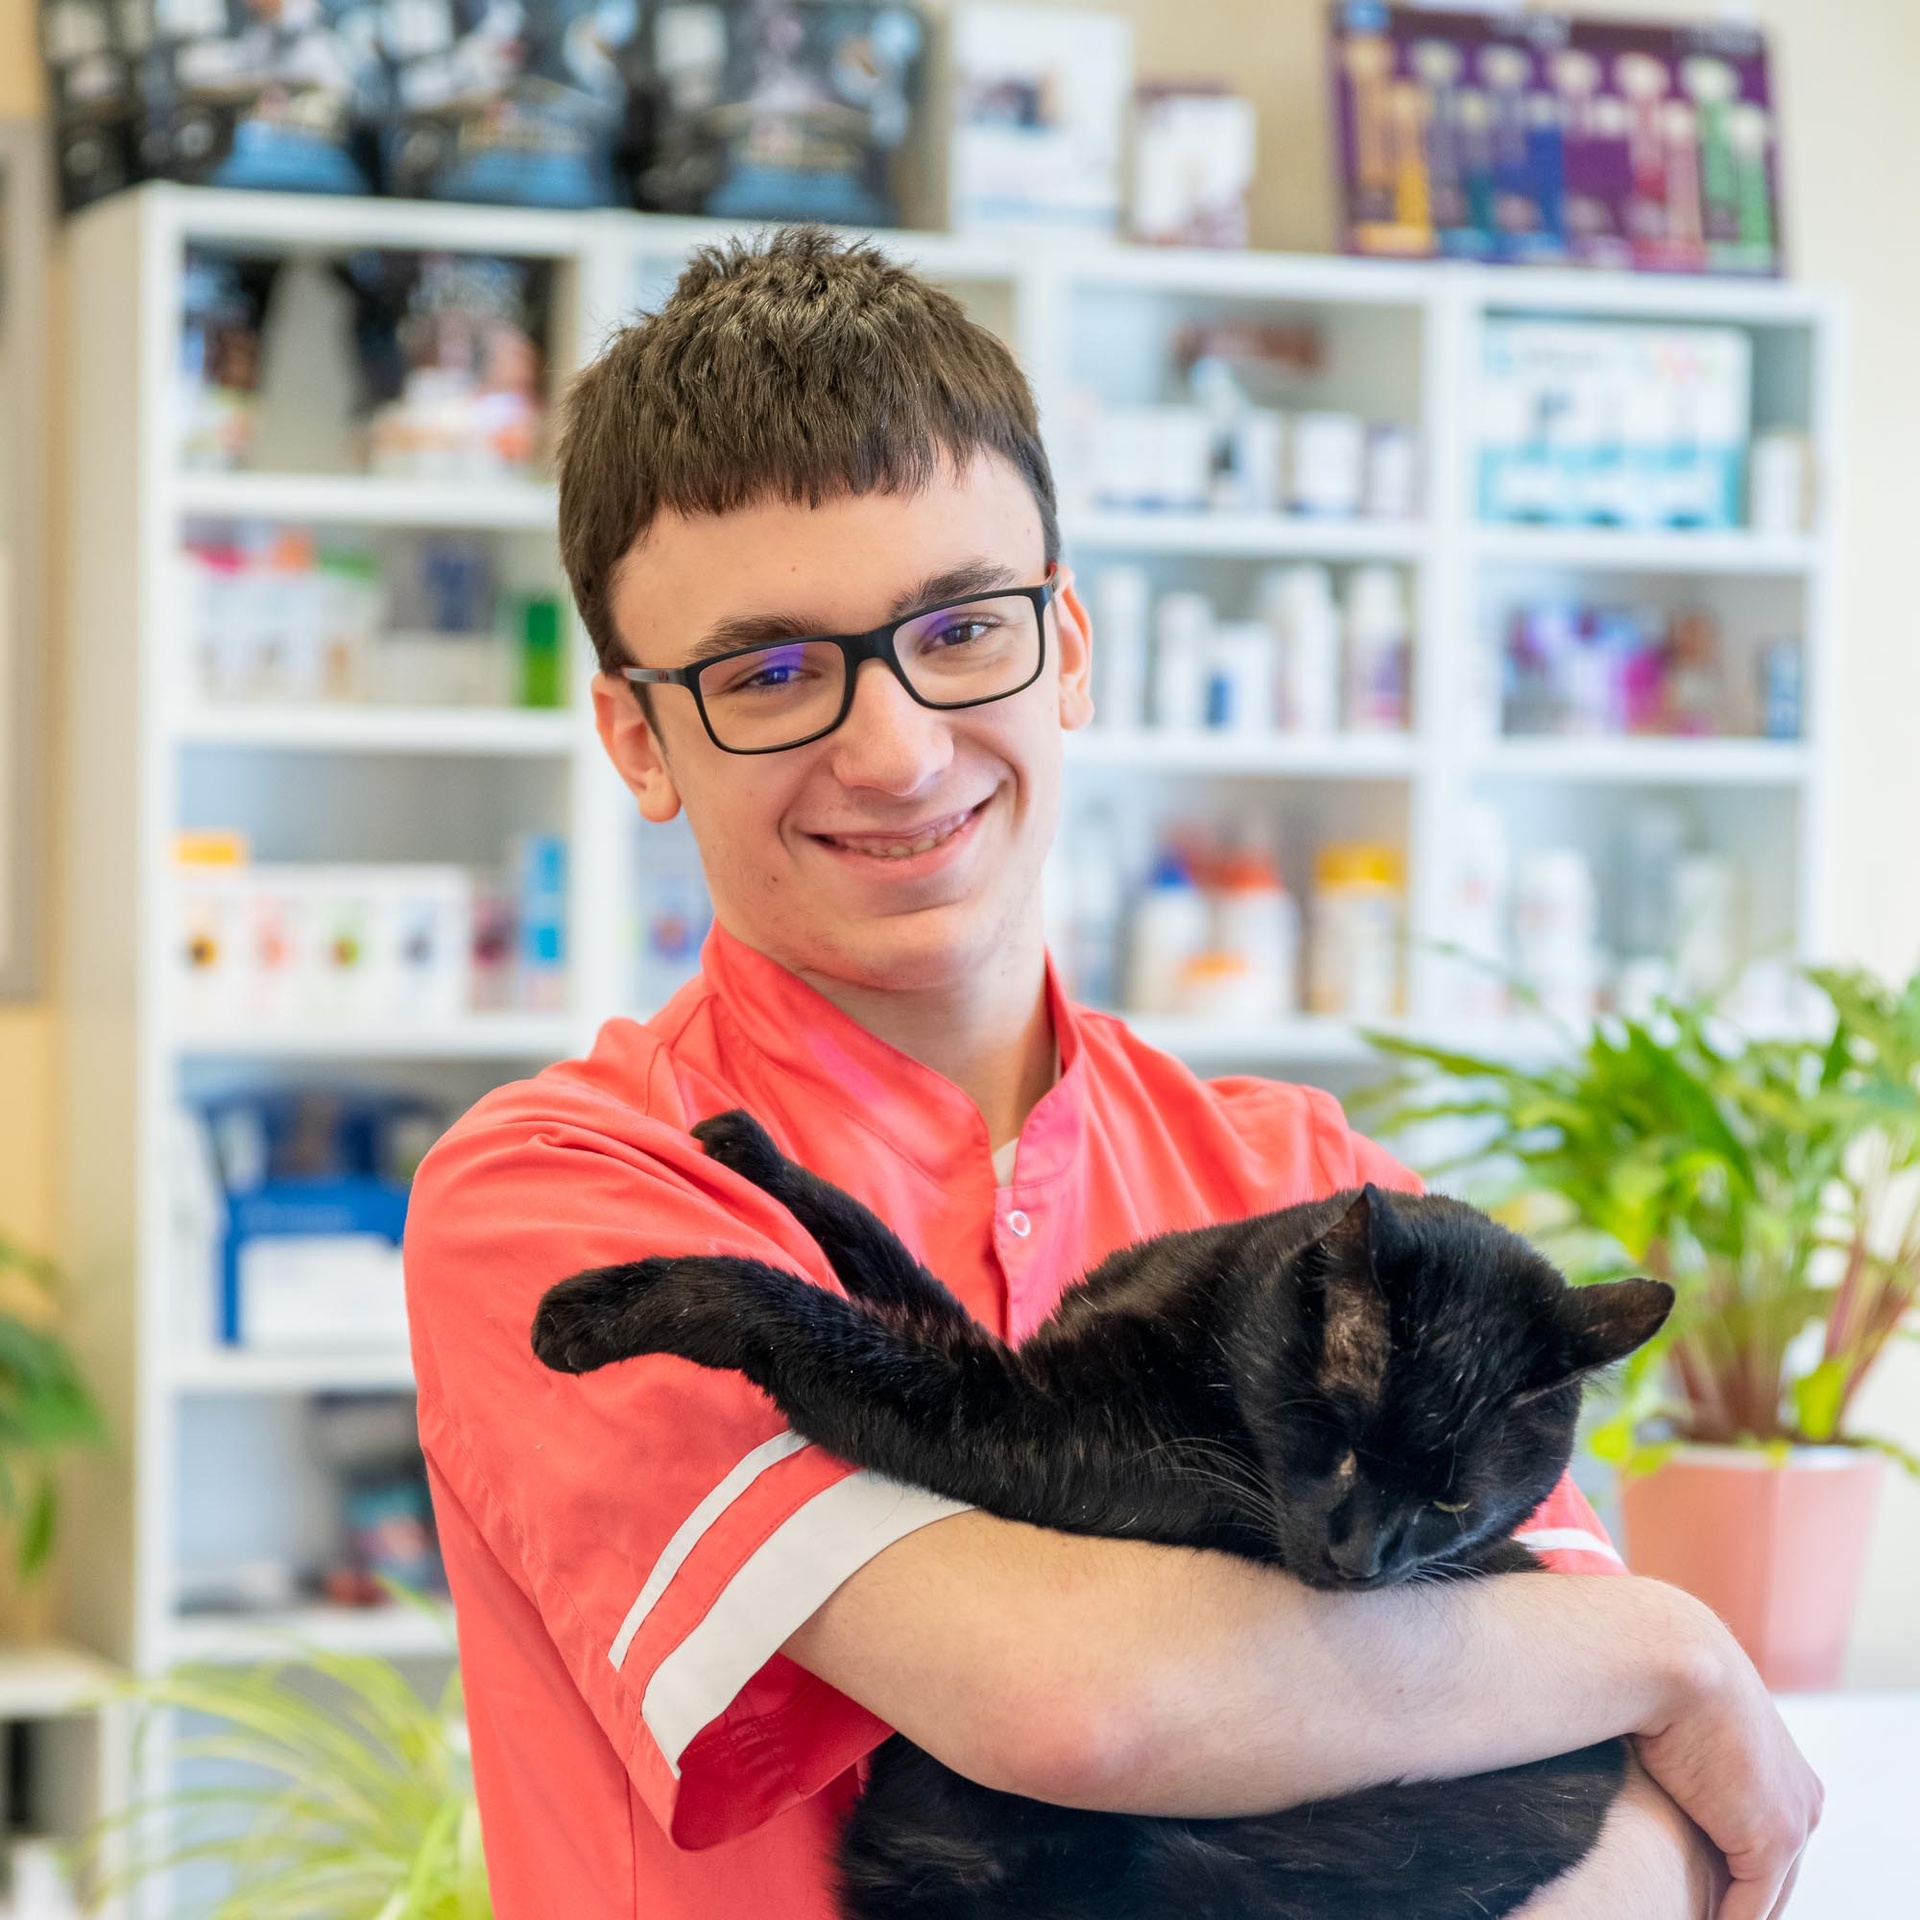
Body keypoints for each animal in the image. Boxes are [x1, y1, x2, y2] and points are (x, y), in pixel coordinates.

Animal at [532, 1108, 1673, 1920]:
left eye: (1450, 1499)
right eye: (1346, 1444)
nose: (1362, 1562)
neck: (1208, 1323)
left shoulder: (1023, 1421)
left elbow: (820, 1322)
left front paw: (608, 1307)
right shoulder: (1005, 1351)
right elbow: (881, 1254)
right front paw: (751, 1150)